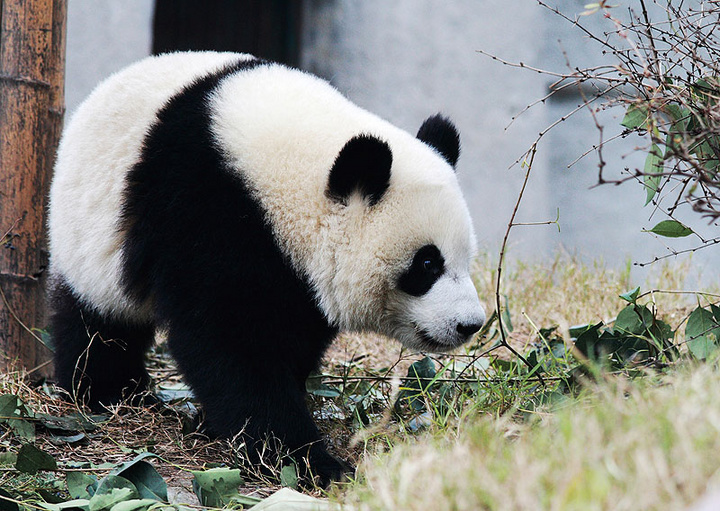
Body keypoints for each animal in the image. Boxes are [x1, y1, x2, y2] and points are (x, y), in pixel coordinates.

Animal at [47, 53, 486, 488]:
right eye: (427, 264)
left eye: (466, 257)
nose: (470, 324)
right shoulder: (207, 211)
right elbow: (232, 346)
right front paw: (311, 461)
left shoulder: (296, 279)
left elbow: (293, 337)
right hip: (91, 235)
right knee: (98, 322)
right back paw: (108, 390)